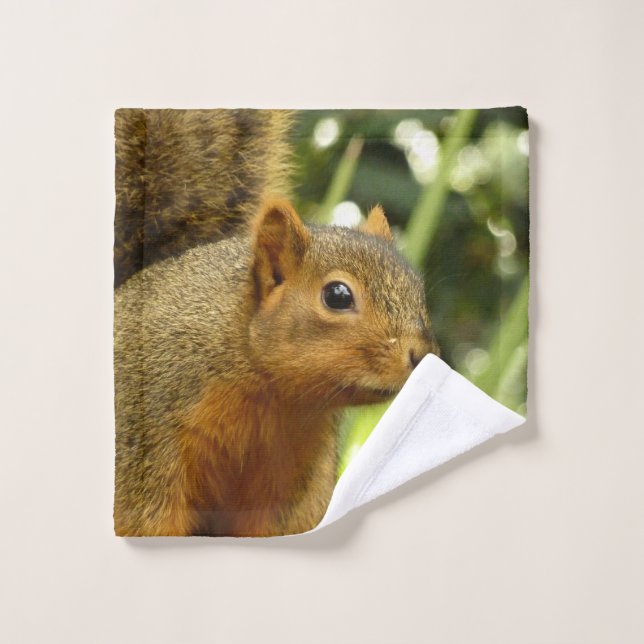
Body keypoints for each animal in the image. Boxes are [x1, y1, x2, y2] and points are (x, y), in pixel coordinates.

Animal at [113, 110, 438, 537]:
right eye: (337, 295)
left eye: (418, 288)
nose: (422, 356)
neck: (273, 397)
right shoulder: (147, 440)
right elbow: (147, 519)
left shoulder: (292, 478)